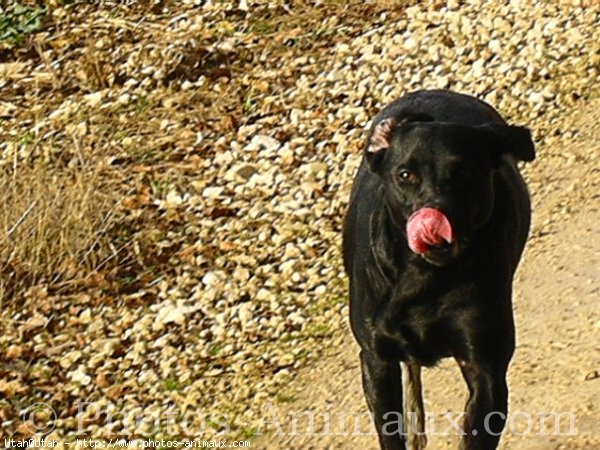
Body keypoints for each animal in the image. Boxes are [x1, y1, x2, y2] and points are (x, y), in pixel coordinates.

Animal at [342, 90, 536, 450]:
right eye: (405, 175)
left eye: (466, 172)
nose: (435, 215)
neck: (424, 277)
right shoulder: (376, 360)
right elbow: (391, 431)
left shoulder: (486, 368)